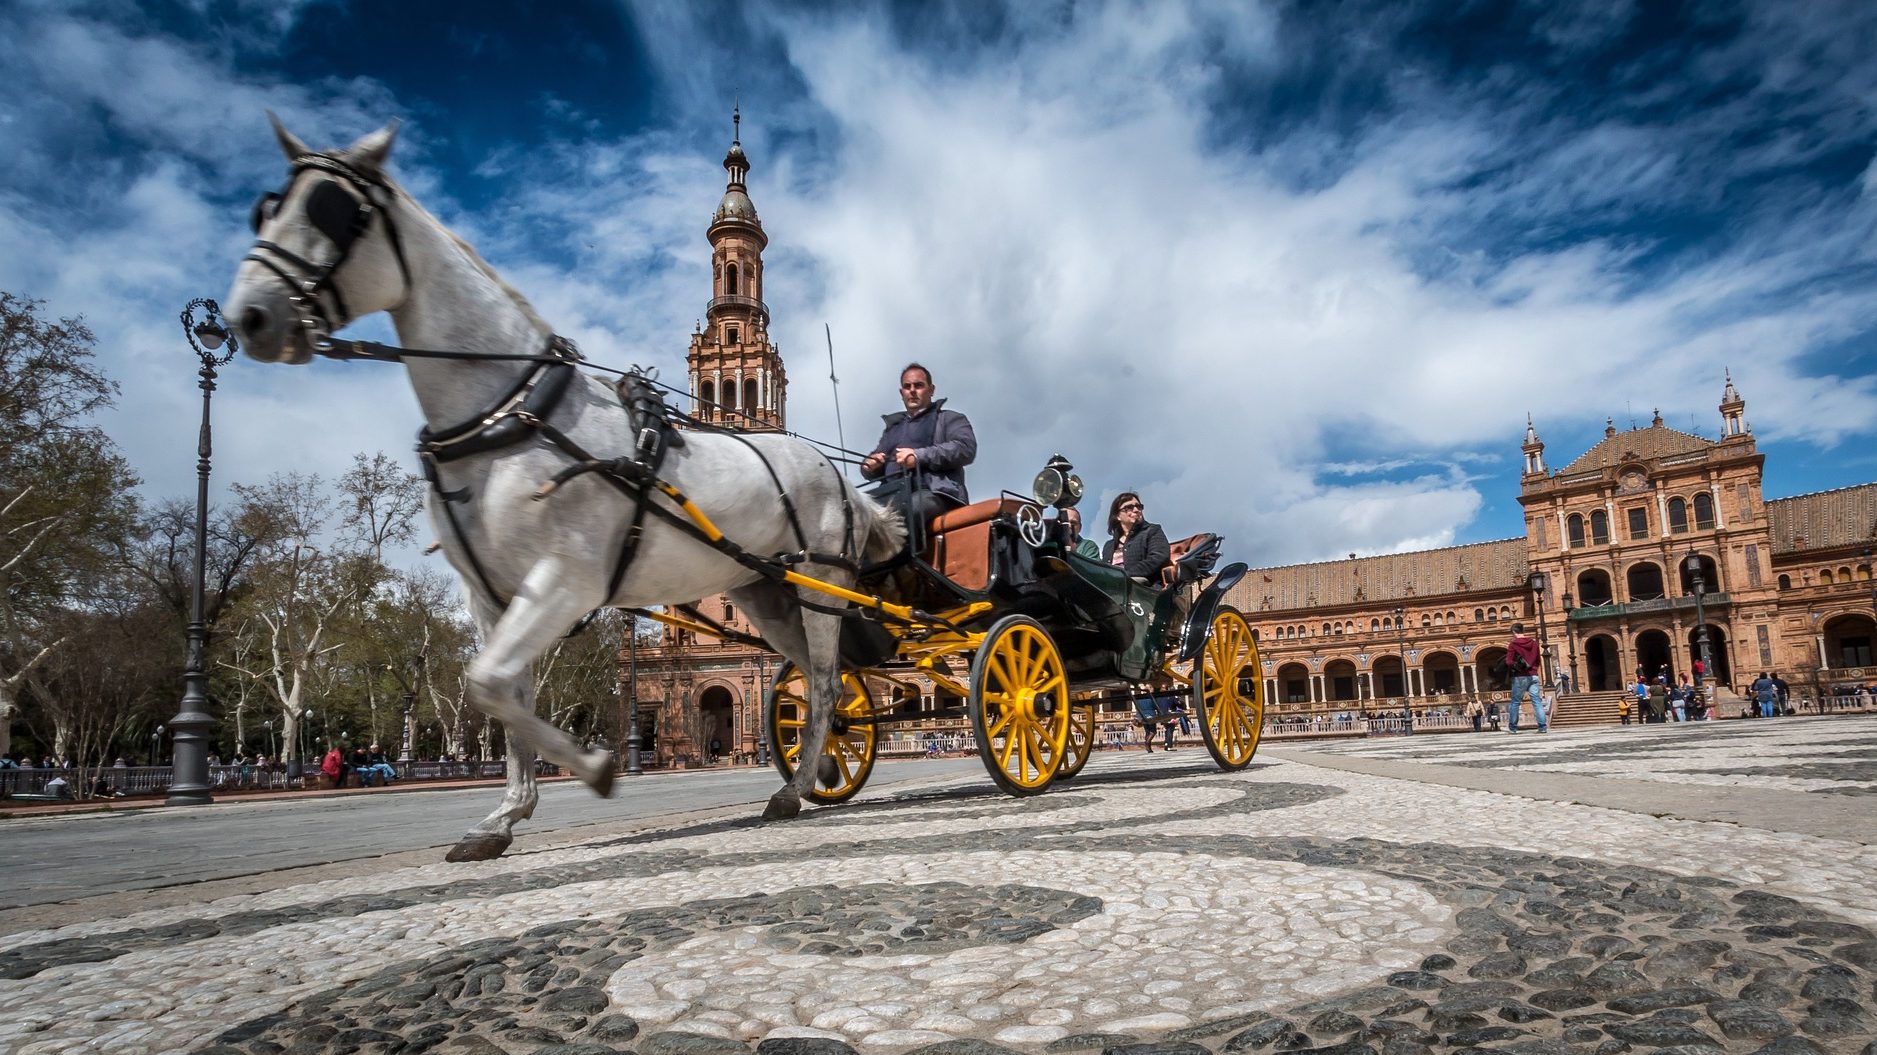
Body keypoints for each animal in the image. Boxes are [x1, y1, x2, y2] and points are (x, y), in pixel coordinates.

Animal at [223, 116, 904, 856]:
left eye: (332, 210)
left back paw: (796, 785)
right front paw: (506, 813)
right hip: (768, 594)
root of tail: (836, 478)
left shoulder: (565, 578)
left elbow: (493, 685)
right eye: (266, 209)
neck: (510, 413)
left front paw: (593, 768)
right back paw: (811, 775)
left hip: (819, 585)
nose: (249, 315)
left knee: (827, 681)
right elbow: (502, 693)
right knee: (819, 680)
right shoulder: (496, 597)